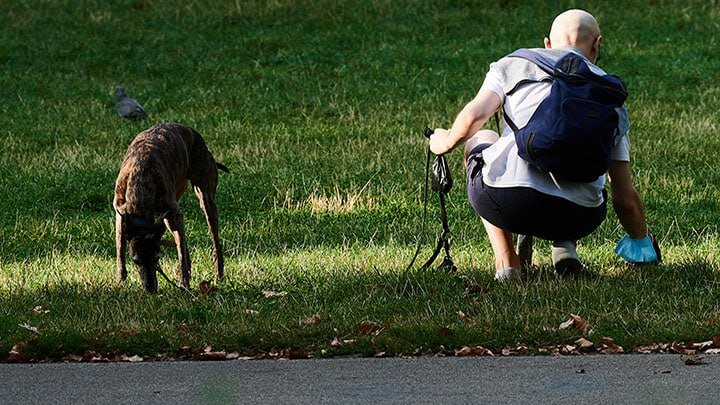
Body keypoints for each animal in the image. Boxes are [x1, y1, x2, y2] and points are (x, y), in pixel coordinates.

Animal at [113, 122, 228, 290]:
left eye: (157, 258)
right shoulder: (120, 215)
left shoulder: (173, 213)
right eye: (136, 261)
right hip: (168, 216)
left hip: (205, 201)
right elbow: (120, 248)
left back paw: (218, 275)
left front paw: (184, 283)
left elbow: (180, 251)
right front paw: (120, 280)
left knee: (214, 242)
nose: (151, 289)